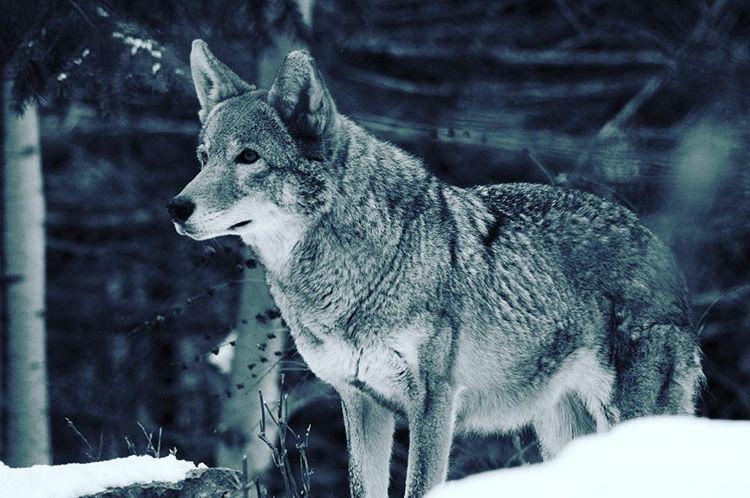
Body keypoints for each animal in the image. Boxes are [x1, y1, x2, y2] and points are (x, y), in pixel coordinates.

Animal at [169, 40, 703, 498]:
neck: (364, 267)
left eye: (249, 157)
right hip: (564, 431)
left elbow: (419, 486)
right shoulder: (360, 401)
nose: (176, 207)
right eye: (204, 158)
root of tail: (658, 242)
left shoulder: (433, 400)